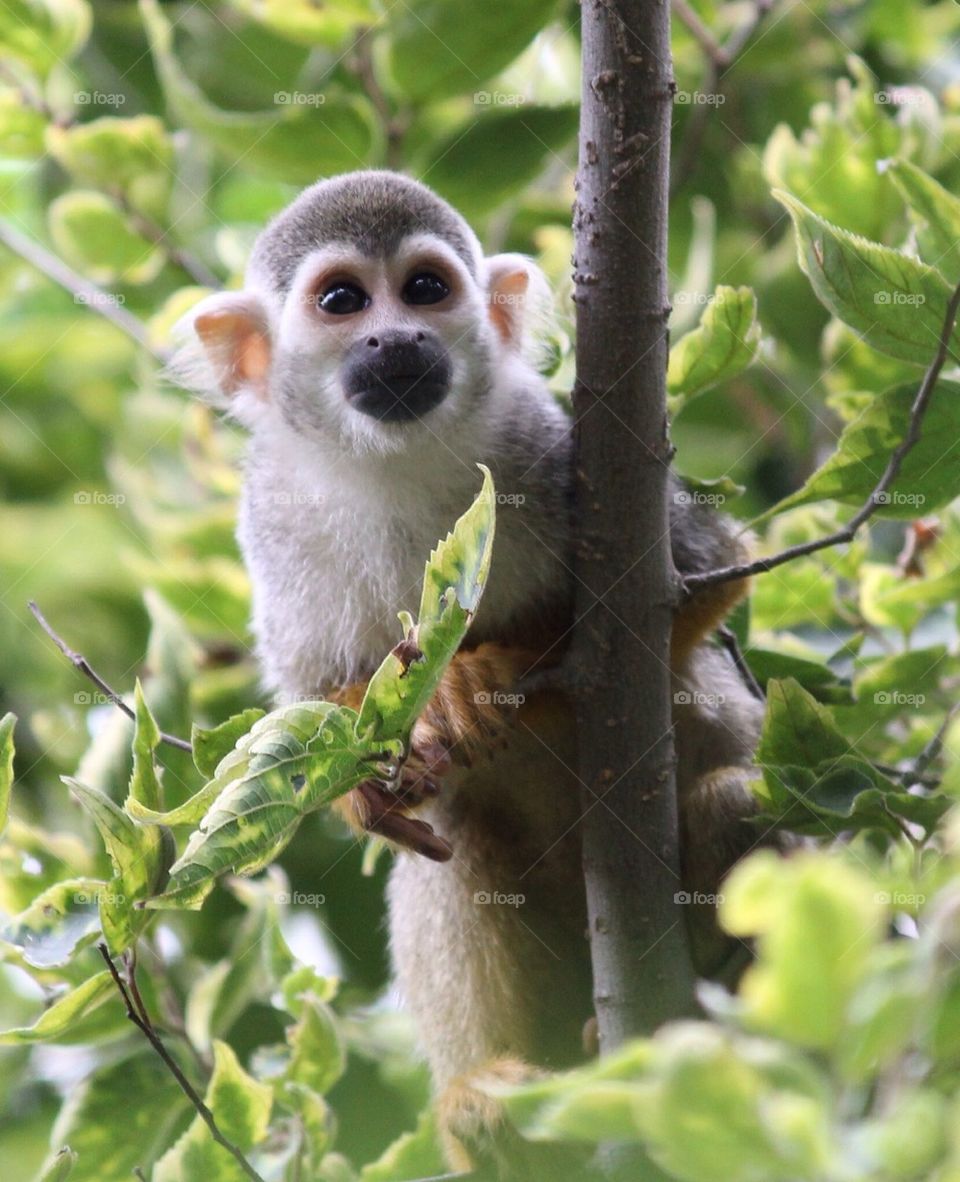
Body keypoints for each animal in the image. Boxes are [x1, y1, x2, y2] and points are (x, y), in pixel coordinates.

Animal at [176, 170, 768, 1177]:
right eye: (342, 301)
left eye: (424, 289)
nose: (396, 338)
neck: (397, 463)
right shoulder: (270, 516)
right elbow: (313, 706)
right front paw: (359, 790)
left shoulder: (566, 448)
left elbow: (692, 590)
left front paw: (480, 682)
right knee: (459, 853)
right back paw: (490, 1101)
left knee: (741, 796)